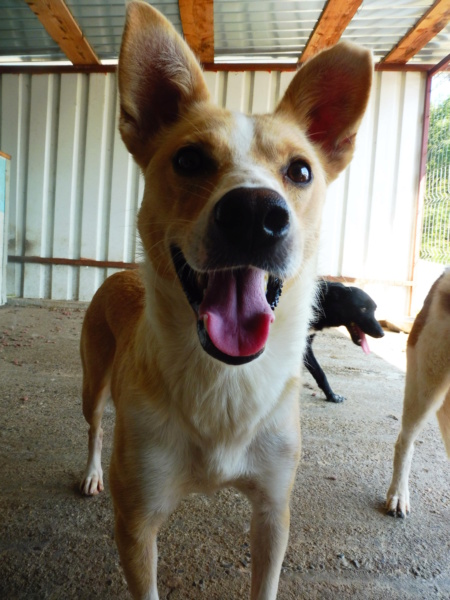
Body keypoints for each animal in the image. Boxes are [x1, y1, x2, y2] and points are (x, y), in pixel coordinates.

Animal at [80, 2, 372, 596]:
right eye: (189, 160)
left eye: (301, 170)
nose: (256, 214)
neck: (224, 381)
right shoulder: (136, 523)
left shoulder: (273, 512)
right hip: (93, 381)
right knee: (95, 425)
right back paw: (92, 473)